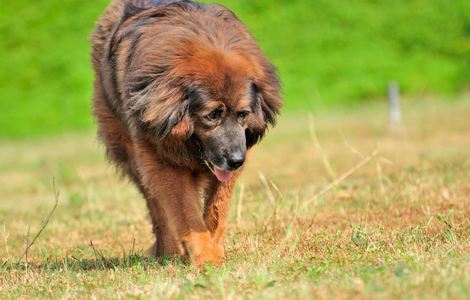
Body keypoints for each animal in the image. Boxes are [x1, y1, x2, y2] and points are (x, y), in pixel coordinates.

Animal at [92, 0, 282, 268]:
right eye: (212, 115)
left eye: (243, 114)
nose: (237, 160)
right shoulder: (163, 161)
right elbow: (186, 215)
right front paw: (204, 257)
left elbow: (216, 210)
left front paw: (213, 249)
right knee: (157, 209)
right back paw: (169, 251)